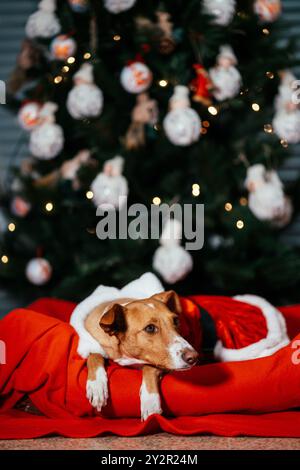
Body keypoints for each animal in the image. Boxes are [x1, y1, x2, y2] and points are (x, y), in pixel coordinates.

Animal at [69, 274, 197, 420]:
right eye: (150, 328)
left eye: (176, 321)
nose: (193, 357)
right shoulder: (92, 342)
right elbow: (94, 355)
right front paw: (97, 385)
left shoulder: (160, 362)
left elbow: (149, 368)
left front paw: (150, 401)